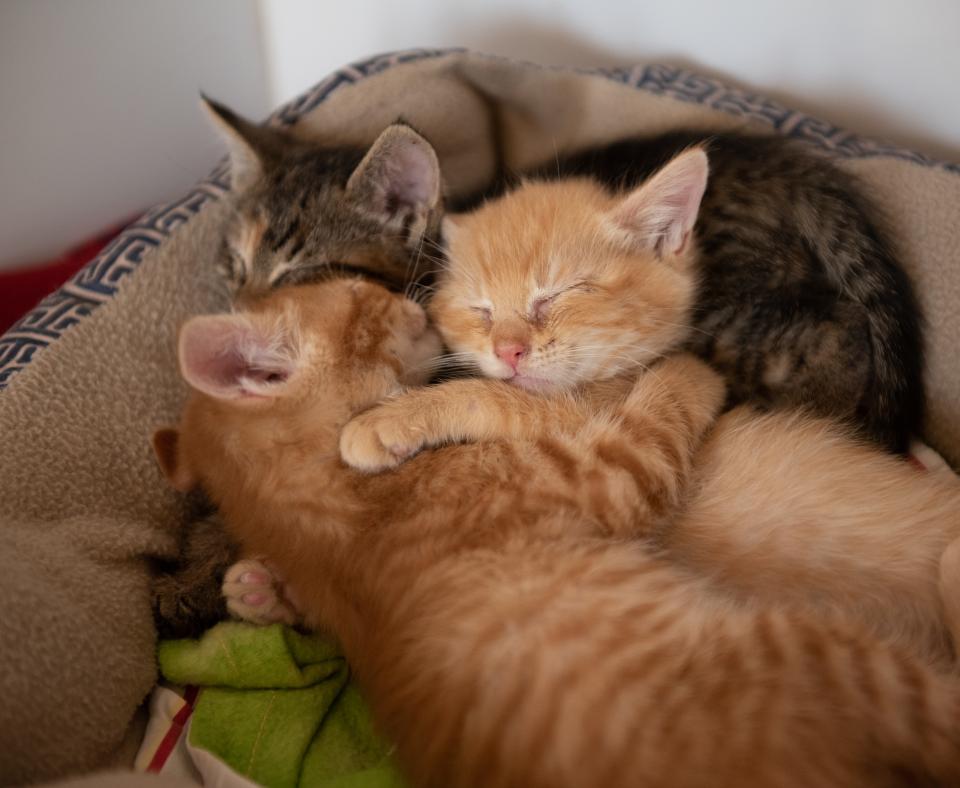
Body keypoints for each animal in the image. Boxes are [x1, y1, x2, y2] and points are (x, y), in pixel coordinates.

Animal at [154, 278, 960, 788]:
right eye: (363, 299)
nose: (407, 297)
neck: (338, 522)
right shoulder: (602, 467)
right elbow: (512, 398)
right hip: (841, 657)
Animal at [340, 148, 960, 664]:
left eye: (556, 295)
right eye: (482, 309)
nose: (508, 350)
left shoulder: (587, 411)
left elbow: (492, 397)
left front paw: (386, 420)